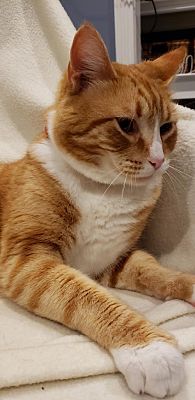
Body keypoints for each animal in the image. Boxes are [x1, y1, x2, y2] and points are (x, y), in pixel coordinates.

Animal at [0, 24, 195, 396]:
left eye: (166, 128)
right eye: (126, 124)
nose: (159, 160)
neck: (105, 191)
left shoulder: (116, 260)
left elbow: (159, 274)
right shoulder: (27, 259)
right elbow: (86, 297)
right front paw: (149, 350)